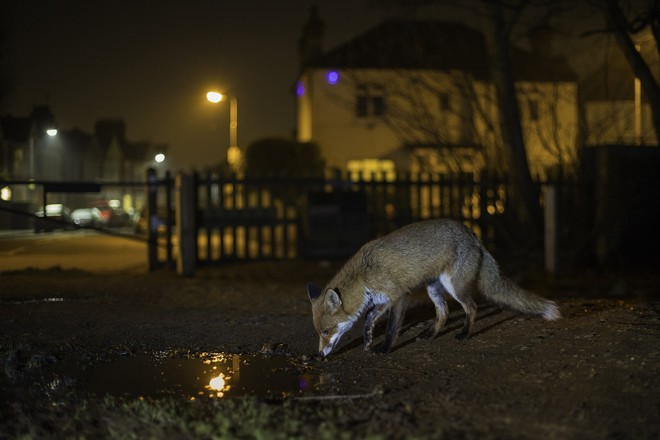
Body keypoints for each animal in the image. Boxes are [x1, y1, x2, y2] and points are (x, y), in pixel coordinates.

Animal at [306, 218, 560, 356]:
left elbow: (391, 328)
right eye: (319, 333)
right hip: (433, 288)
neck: (364, 276)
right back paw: (430, 335)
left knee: (472, 308)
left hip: (454, 286)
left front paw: (384, 348)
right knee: (444, 312)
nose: (319, 354)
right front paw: (367, 341)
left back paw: (464, 334)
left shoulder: (400, 296)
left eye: (326, 332)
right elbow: (368, 318)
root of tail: (473, 235)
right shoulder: (382, 300)